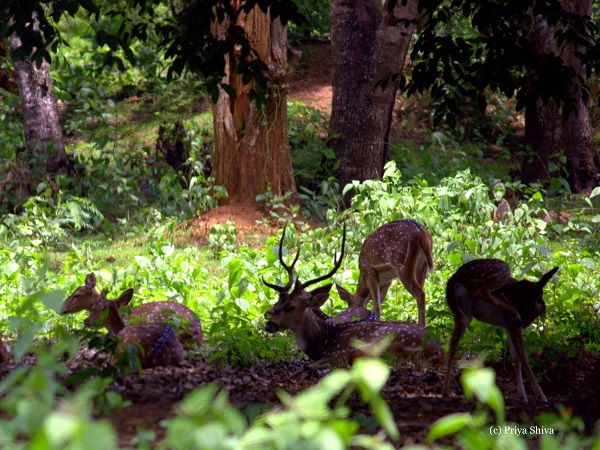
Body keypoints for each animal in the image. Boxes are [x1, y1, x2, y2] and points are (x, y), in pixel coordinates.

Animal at [262, 225, 446, 370]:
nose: (269, 323)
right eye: (278, 302)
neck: (323, 342)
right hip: (421, 269)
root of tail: (438, 350)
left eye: (291, 306)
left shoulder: (339, 353)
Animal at [440, 258, 556, 402]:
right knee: (482, 291)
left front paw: (522, 395)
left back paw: (446, 390)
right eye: (523, 290)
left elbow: (515, 358)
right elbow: (523, 355)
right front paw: (540, 395)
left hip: (464, 313)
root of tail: (455, 278)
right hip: (500, 269)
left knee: (452, 343)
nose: (504, 291)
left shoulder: (508, 326)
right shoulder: (513, 325)